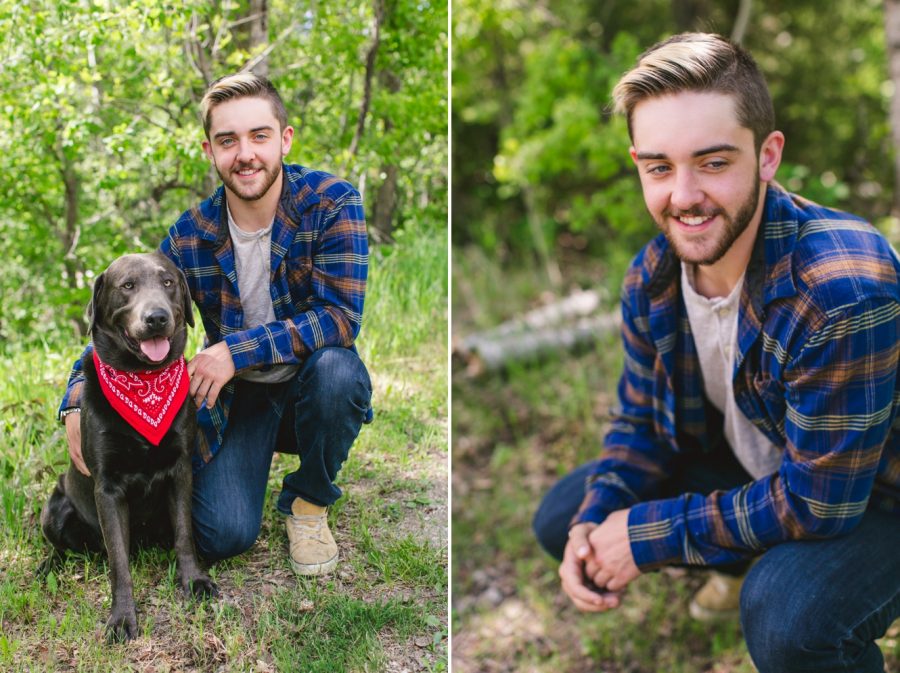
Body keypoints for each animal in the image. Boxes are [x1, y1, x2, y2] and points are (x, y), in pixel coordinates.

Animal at [41, 252, 219, 640]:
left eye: (168, 282)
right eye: (127, 286)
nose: (157, 318)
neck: (143, 380)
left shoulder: (181, 470)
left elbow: (185, 535)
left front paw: (193, 582)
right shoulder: (107, 488)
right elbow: (119, 563)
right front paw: (122, 617)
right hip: (55, 508)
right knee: (62, 547)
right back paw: (47, 566)